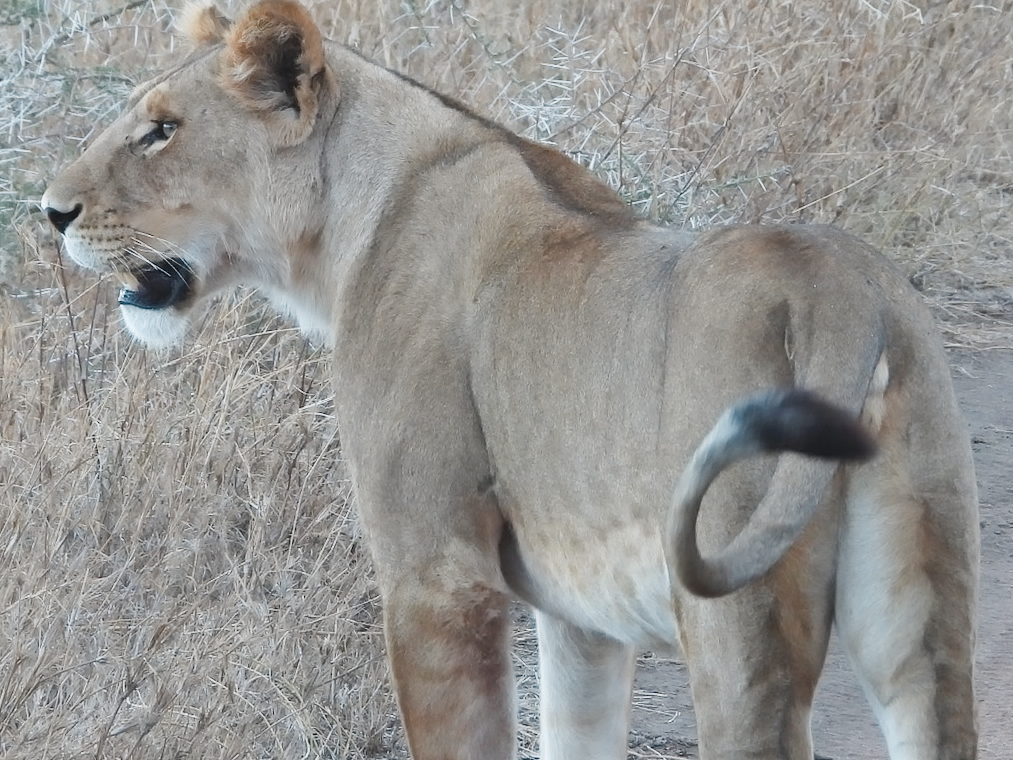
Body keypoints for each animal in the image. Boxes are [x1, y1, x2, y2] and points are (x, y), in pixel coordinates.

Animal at [42, 2, 979, 758]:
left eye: (163, 130)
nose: (50, 212)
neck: (352, 219)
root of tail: (833, 281)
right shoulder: (579, 622)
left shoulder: (435, 574)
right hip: (918, 609)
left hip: (734, 622)